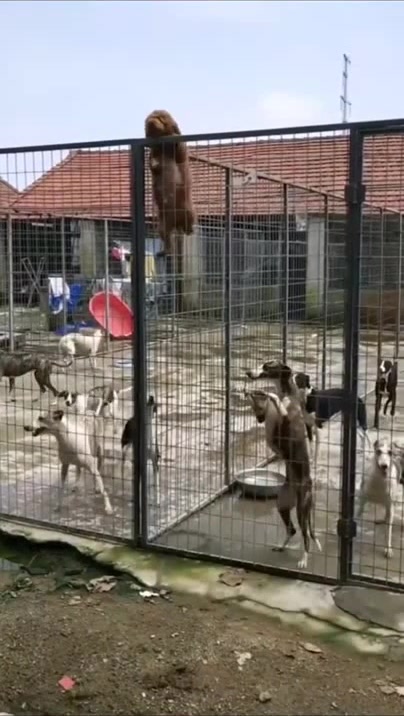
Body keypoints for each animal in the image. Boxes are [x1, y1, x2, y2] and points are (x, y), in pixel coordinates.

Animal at [145, 109, 195, 253]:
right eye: (150, 117)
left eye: (161, 118)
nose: (152, 119)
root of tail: (176, 223)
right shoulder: (154, 151)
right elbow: (153, 164)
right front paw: (154, 161)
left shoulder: (180, 152)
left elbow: (179, 149)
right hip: (162, 224)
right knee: (166, 237)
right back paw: (166, 251)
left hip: (189, 210)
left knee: (190, 225)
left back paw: (189, 230)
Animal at [245, 361, 321, 569]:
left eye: (267, 366)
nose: (248, 372)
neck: (286, 392)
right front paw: (250, 393)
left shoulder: (286, 414)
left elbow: (273, 399)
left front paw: (265, 394)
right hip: (282, 505)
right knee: (292, 530)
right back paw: (281, 546)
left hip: (302, 509)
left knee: (305, 535)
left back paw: (304, 559)